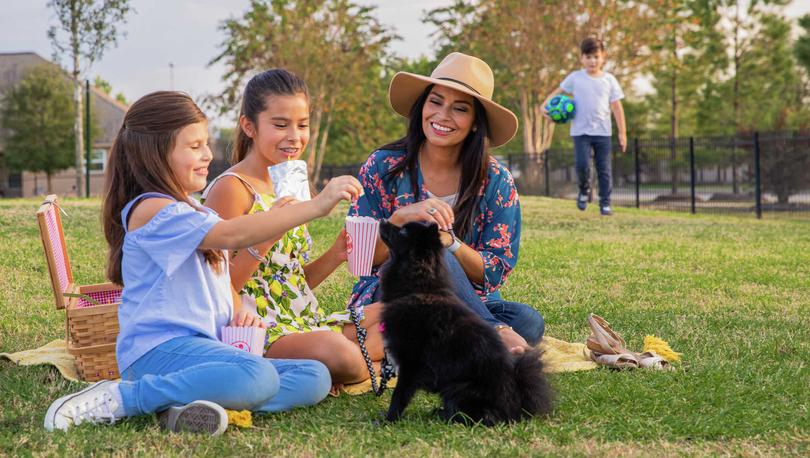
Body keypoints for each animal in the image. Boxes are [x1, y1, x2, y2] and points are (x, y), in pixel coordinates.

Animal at [378, 220, 552, 424]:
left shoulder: (411, 361)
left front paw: (387, 420)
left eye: (404, 230)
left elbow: (399, 395)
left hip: (457, 388)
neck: (420, 288)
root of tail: (515, 405)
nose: (383, 221)